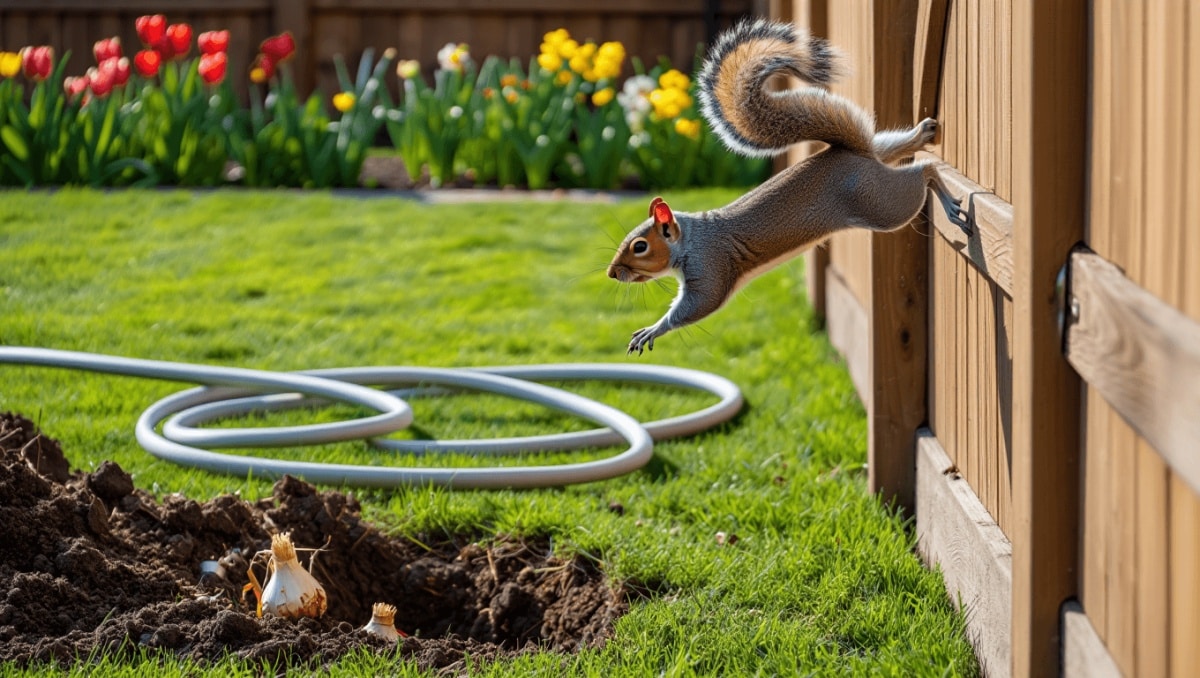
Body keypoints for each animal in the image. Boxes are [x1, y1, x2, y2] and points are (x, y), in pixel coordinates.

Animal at [607, 18, 966, 355]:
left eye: (640, 246)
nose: (612, 273)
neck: (691, 240)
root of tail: (855, 154)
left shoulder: (710, 266)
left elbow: (699, 304)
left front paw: (653, 329)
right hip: (878, 170)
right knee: (889, 148)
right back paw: (919, 134)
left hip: (880, 204)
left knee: (924, 172)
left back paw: (947, 198)